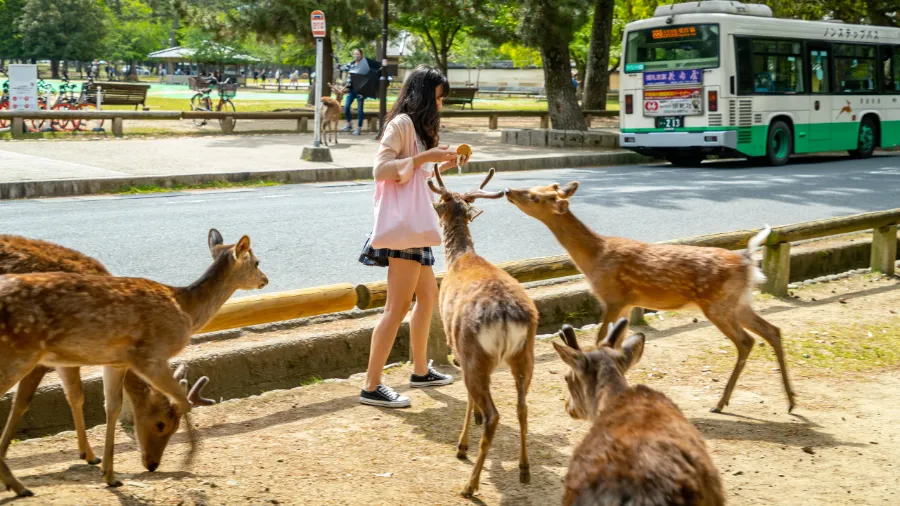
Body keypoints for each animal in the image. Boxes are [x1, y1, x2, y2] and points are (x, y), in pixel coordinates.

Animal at [0, 229, 268, 498]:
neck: (185, 309)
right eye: (257, 262)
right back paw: (17, 485)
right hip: (19, 353)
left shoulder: (114, 362)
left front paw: (108, 474)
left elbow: (110, 406)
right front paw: (189, 459)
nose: (265, 279)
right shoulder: (150, 356)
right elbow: (182, 401)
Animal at [426, 167, 536, 498]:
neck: (462, 259)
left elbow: (466, 396)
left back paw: (469, 484)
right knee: (522, 406)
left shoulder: (458, 347)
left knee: (494, 414)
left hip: (477, 353)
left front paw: (462, 444)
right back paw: (524, 469)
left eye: (440, 202)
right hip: (525, 354)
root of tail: (505, 314)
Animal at [506, 183, 796, 416]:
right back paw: (791, 401)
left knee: (746, 341)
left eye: (534, 196)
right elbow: (617, 343)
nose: (509, 190)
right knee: (772, 330)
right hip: (740, 303)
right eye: (534, 187)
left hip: (718, 305)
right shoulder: (628, 303)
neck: (595, 258)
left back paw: (721, 403)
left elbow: (600, 339)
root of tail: (748, 261)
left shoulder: (613, 297)